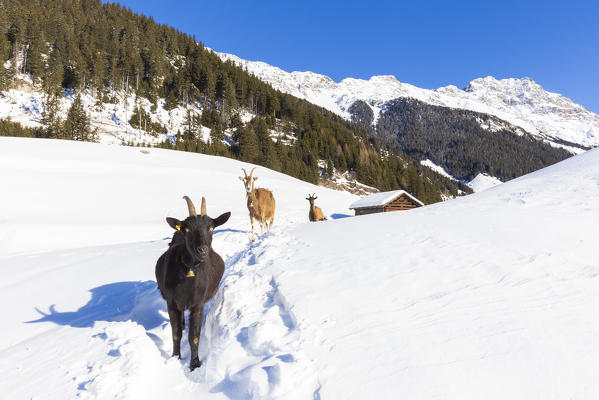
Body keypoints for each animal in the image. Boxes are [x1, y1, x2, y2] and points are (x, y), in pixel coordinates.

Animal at [156, 195, 231, 370]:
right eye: (188, 229)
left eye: (211, 228)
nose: (202, 250)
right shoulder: (172, 303)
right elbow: (176, 333)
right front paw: (175, 357)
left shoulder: (198, 304)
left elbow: (194, 336)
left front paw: (194, 364)